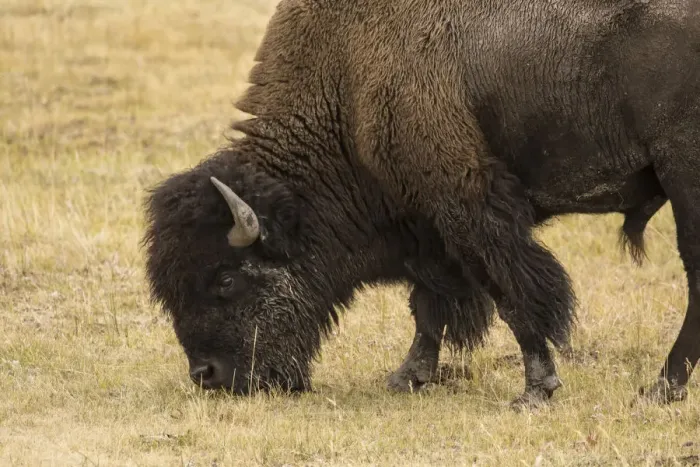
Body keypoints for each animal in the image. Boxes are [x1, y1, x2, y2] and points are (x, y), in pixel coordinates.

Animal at [142, 0, 700, 408]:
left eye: (226, 279)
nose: (207, 375)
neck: (346, 85)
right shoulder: (425, 228)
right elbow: (429, 304)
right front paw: (408, 376)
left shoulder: (469, 209)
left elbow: (513, 294)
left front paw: (535, 391)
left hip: (684, 179)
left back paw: (661, 388)